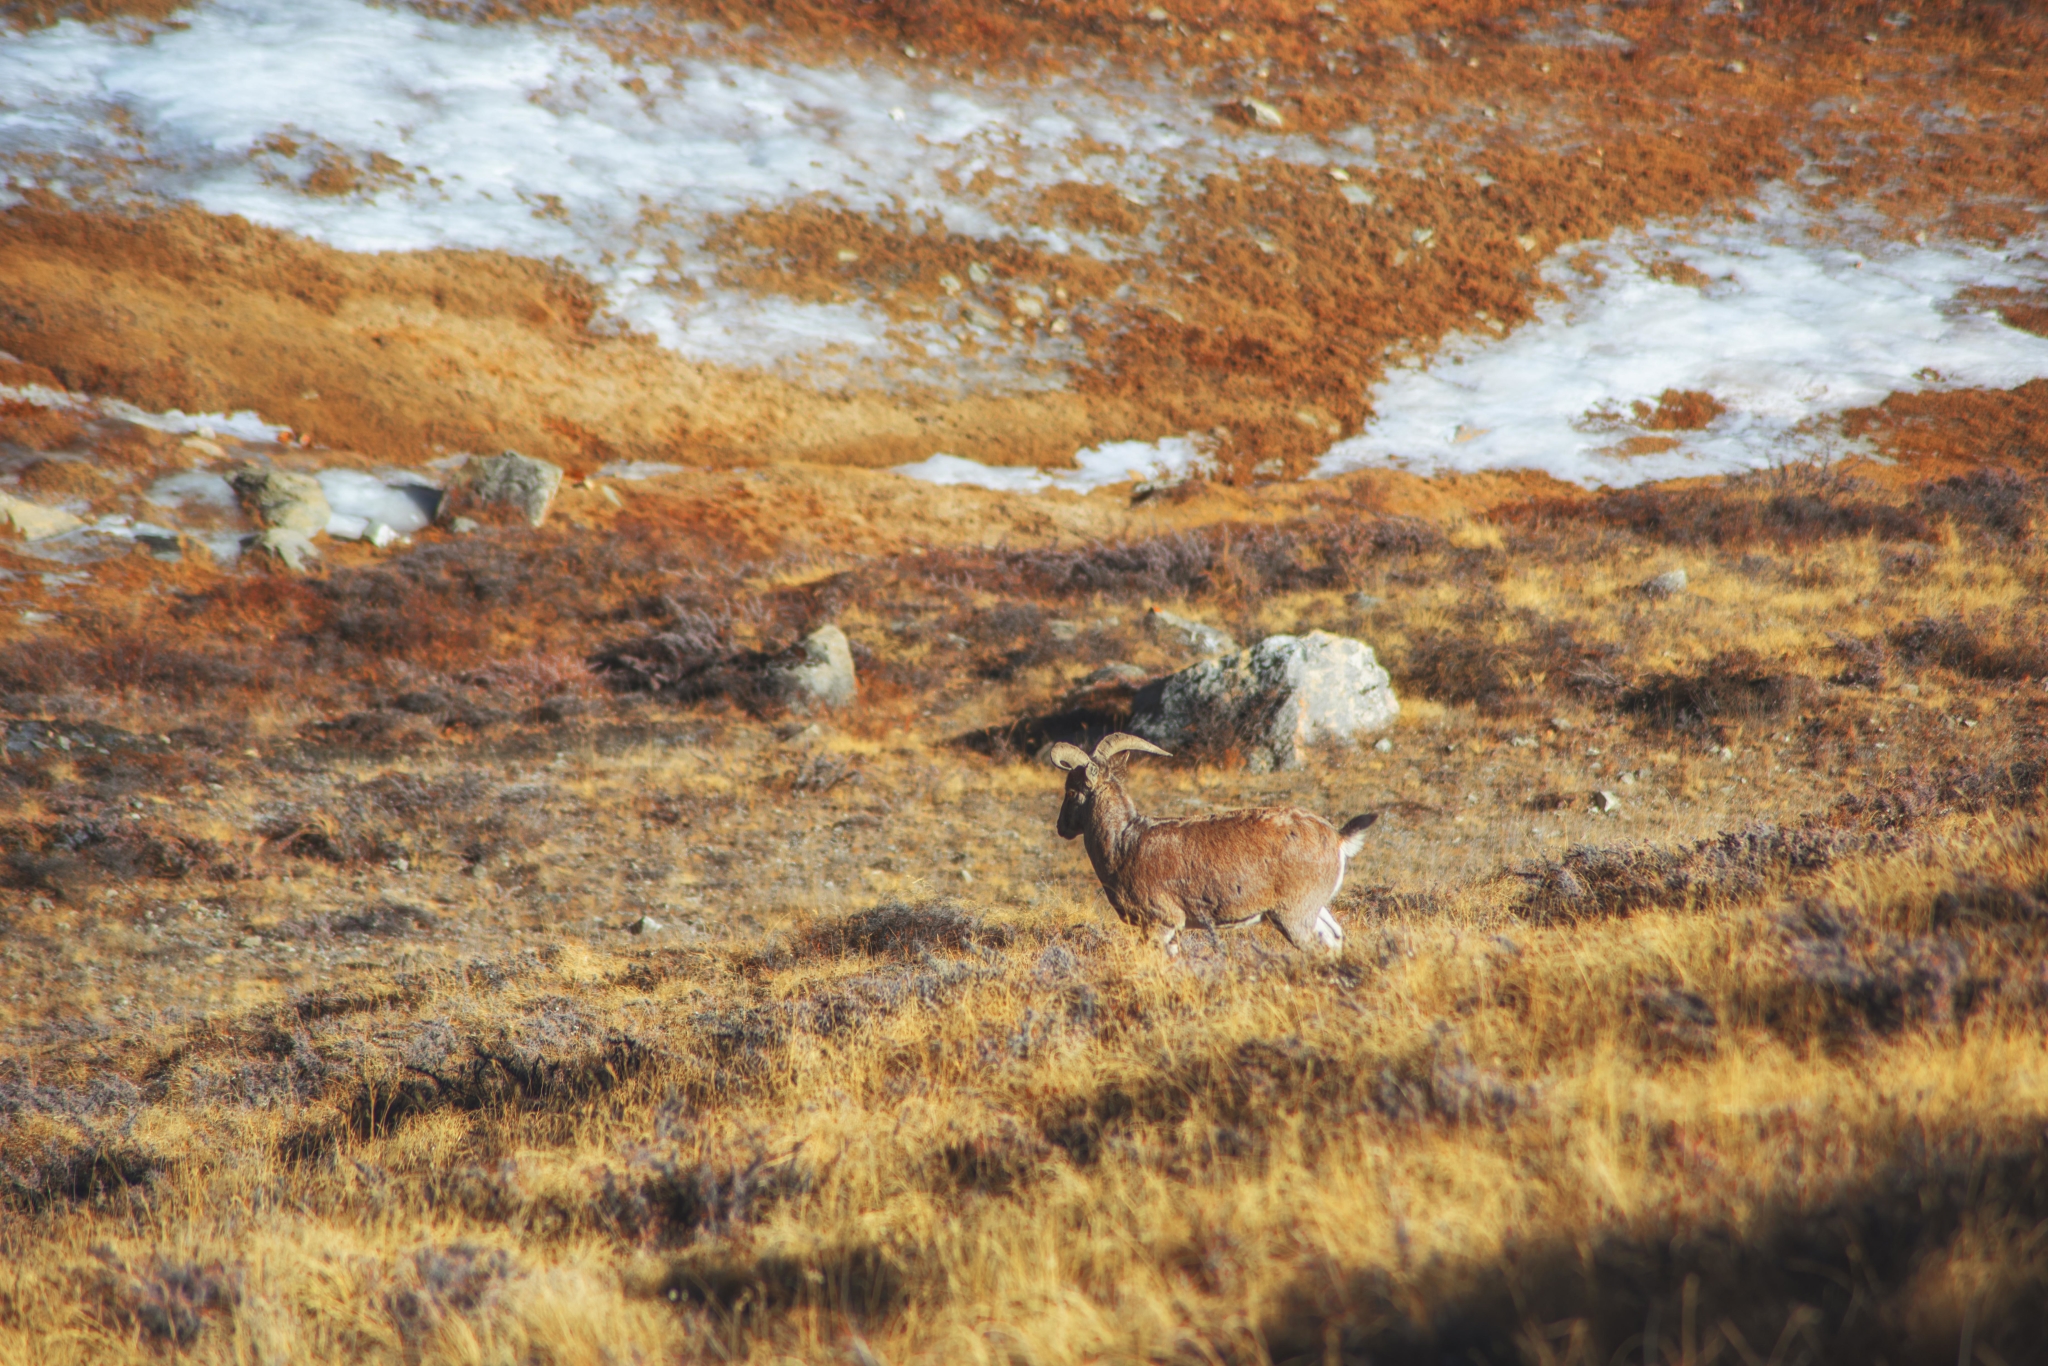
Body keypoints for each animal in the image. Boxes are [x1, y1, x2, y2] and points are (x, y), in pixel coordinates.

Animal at [1056, 737, 1376, 950]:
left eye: (1071, 791)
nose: (1061, 827)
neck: (1124, 844)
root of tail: (1337, 838)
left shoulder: (1160, 923)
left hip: (1294, 914)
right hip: (1315, 909)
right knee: (1334, 937)